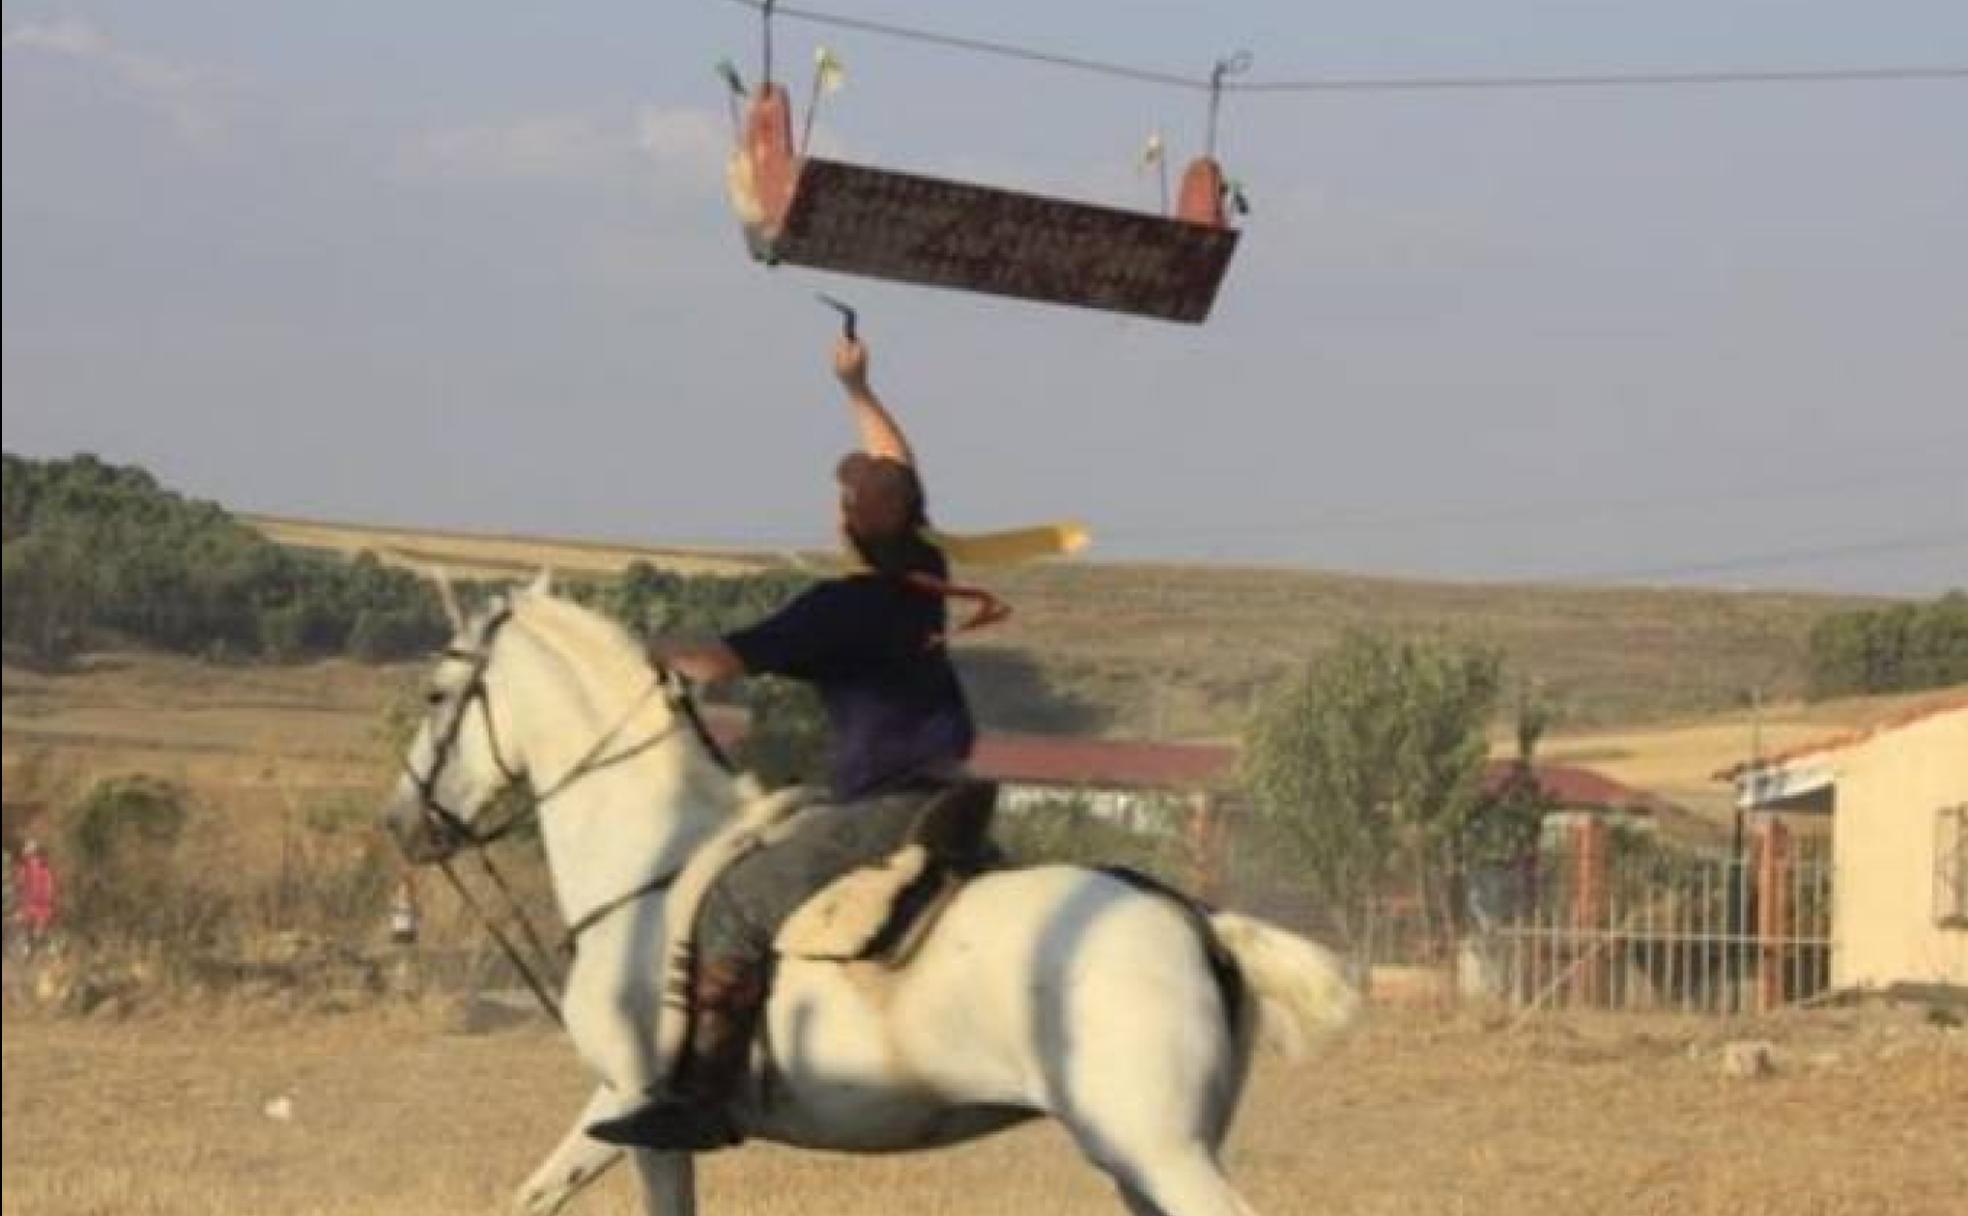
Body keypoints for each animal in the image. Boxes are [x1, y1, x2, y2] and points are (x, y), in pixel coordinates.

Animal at [377, 578, 1361, 1212]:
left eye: (436, 692)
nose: (402, 822)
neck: (648, 862)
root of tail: (1200, 924)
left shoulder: (635, 1104)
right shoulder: (616, 1109)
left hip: (1157, 1150)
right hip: (1141, 1158)